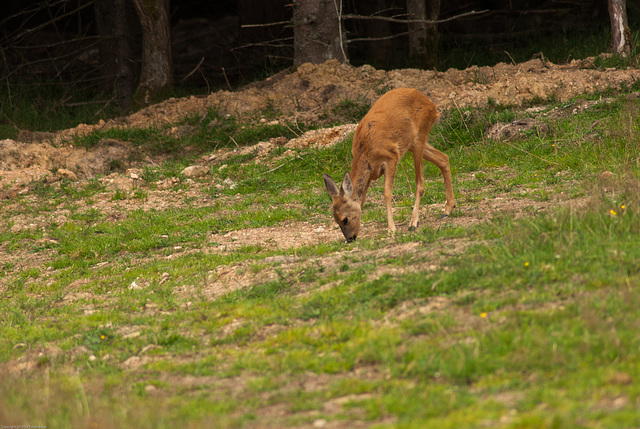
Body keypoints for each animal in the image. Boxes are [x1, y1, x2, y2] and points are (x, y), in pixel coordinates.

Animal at [324, 87, 456, 241]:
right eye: (335, 220)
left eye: (345, 219)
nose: (350, 239)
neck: (365, 151)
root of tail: (432, 105)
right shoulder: (370, 173)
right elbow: (362, 199)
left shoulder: (391, 158)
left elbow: (387, 193)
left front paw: (391, 229)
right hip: (412, 144)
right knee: (443, 158)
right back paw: (448, 209)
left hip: (419, 137)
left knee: (420, 183)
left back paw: (413, 222)